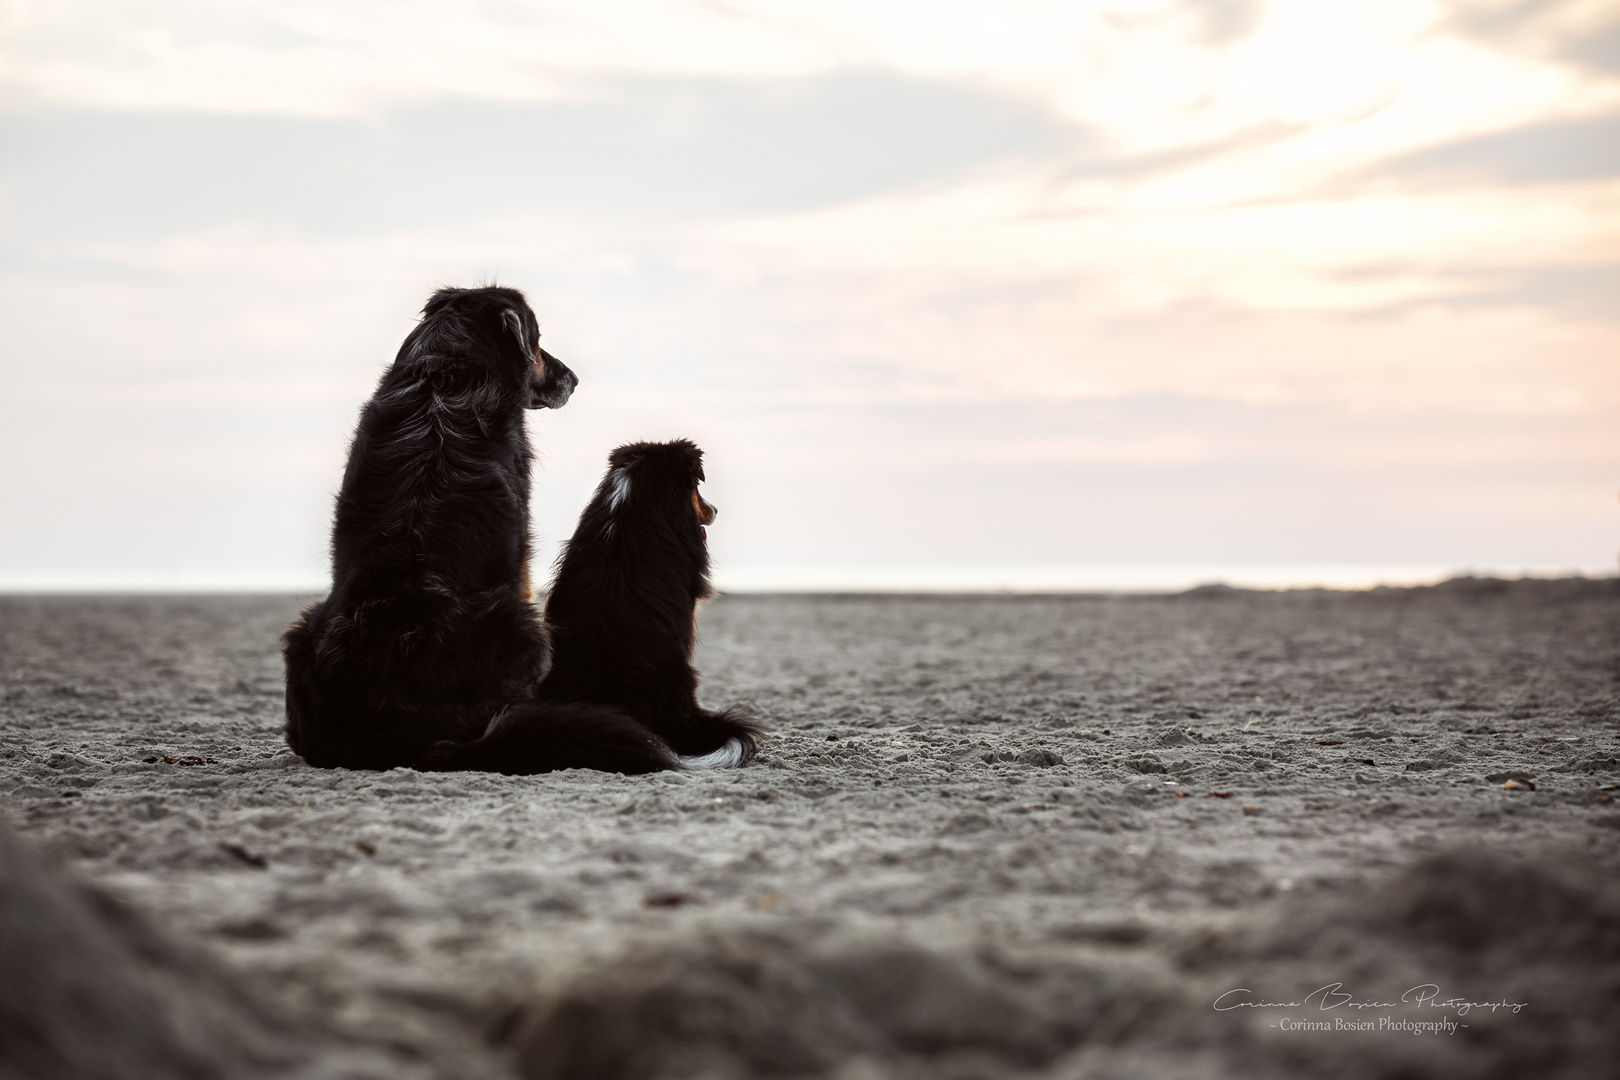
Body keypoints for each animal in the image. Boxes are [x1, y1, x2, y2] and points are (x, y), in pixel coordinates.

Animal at [278, 286, 703, 777]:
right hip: (523, 625)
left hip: (305, 627)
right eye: (537, 343)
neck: (443, 378)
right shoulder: (522, 546)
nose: (574, 379)